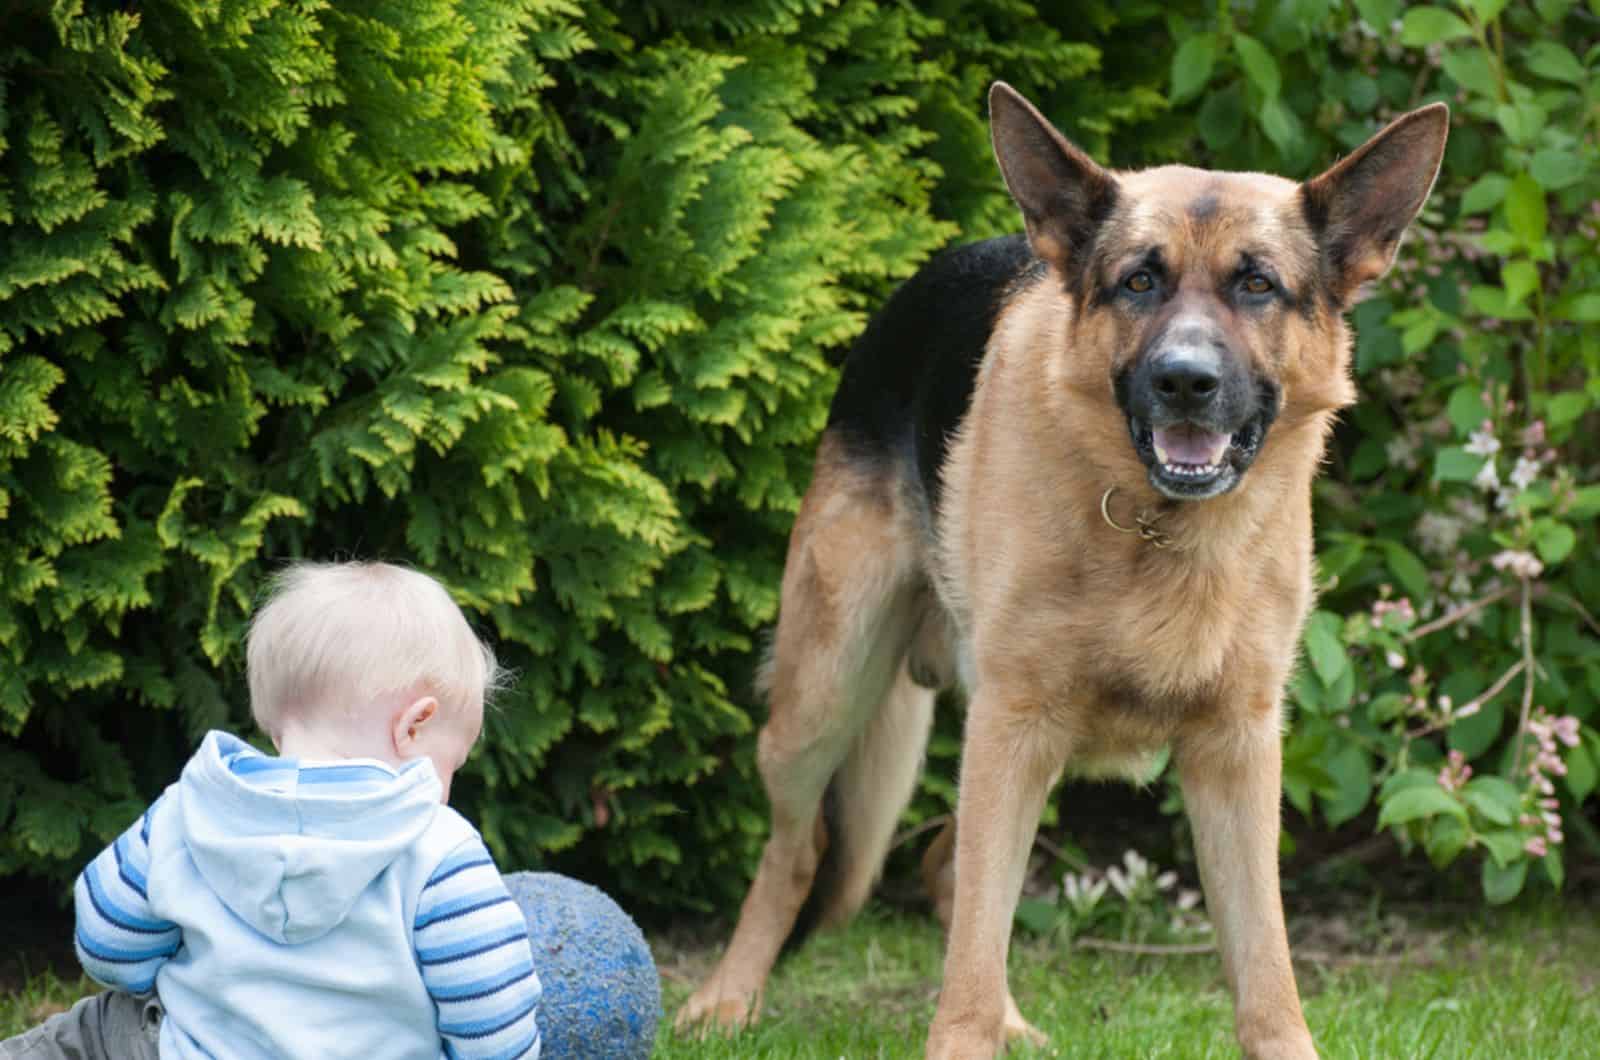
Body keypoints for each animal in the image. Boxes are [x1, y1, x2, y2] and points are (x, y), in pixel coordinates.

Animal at [675, 85, 1452, 1060]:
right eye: (1139, 282)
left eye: (1258, 285)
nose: (1185, 382)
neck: (1162, 533)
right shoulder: (1015, 726)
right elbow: (966, 960)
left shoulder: (1235, 752)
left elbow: (1269, 974)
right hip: (828, 694)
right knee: (804, 853)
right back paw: (728, 1000)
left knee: (951, 868)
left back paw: (1009, 1020)